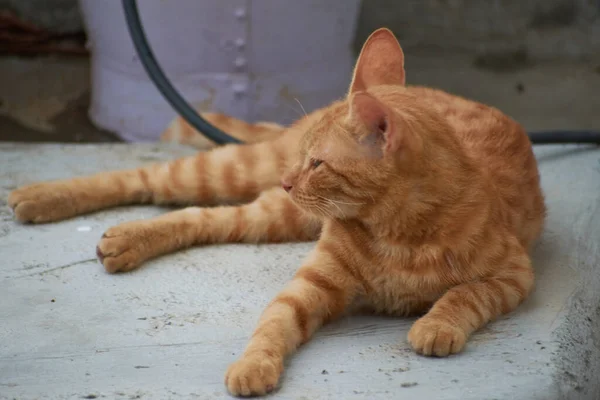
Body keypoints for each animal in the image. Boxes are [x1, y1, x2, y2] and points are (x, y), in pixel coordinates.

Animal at [8, 28, 544, 396]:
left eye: (318, 163)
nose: (289, 180)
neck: (395, 232)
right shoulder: (311, 284)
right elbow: (273, 324)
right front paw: (253, 365)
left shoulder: (513, 274)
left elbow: (465, 295)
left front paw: (436, 324)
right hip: (240, 172)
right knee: (147, 179)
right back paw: (41, 196)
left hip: (275, 215)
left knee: (204, 218)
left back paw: (124, 241)